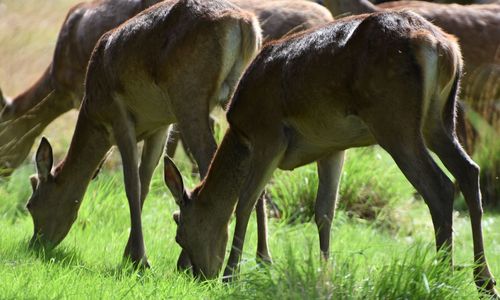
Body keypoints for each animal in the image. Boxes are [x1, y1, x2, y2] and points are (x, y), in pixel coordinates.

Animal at [25, 0, 262, 270]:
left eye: (30, 205)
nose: (35, 245)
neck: (93, 112)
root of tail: (246, 25)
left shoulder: (120, 118)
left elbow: (132, 184)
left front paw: (139, 259)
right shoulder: (160, 126)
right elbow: (146, 181)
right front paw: (129, 254)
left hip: (189, 99)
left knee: (208, 162)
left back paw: (191, 261)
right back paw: (261, 260)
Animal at [162, 9, 498, 298]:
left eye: (179, 230)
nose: (187, 272)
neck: (240, 133)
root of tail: (440, 45)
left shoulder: (268, 134)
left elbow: (245, 203)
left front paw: (231, 276)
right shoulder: (332, 147)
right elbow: (324, 211)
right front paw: (324, 276)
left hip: (393, 120)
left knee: (439, 186)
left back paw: (444, 274)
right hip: (439, 118)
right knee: (469, 171)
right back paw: (484, 282)